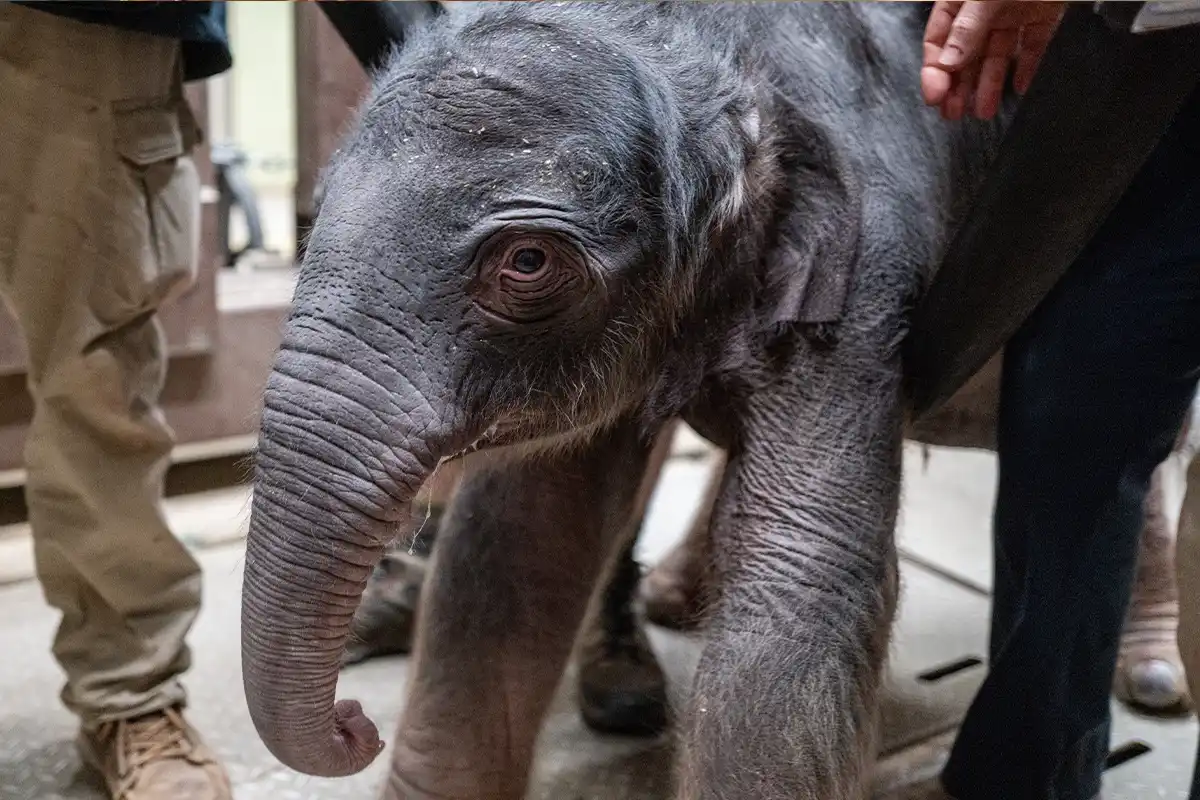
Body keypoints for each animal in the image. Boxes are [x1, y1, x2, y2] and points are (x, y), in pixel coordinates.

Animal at [240, 2, 1027, 797]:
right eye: (314, 210)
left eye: (528, 262)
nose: (356, 721)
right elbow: (519, 535)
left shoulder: (861, 278)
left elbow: (798, 578)